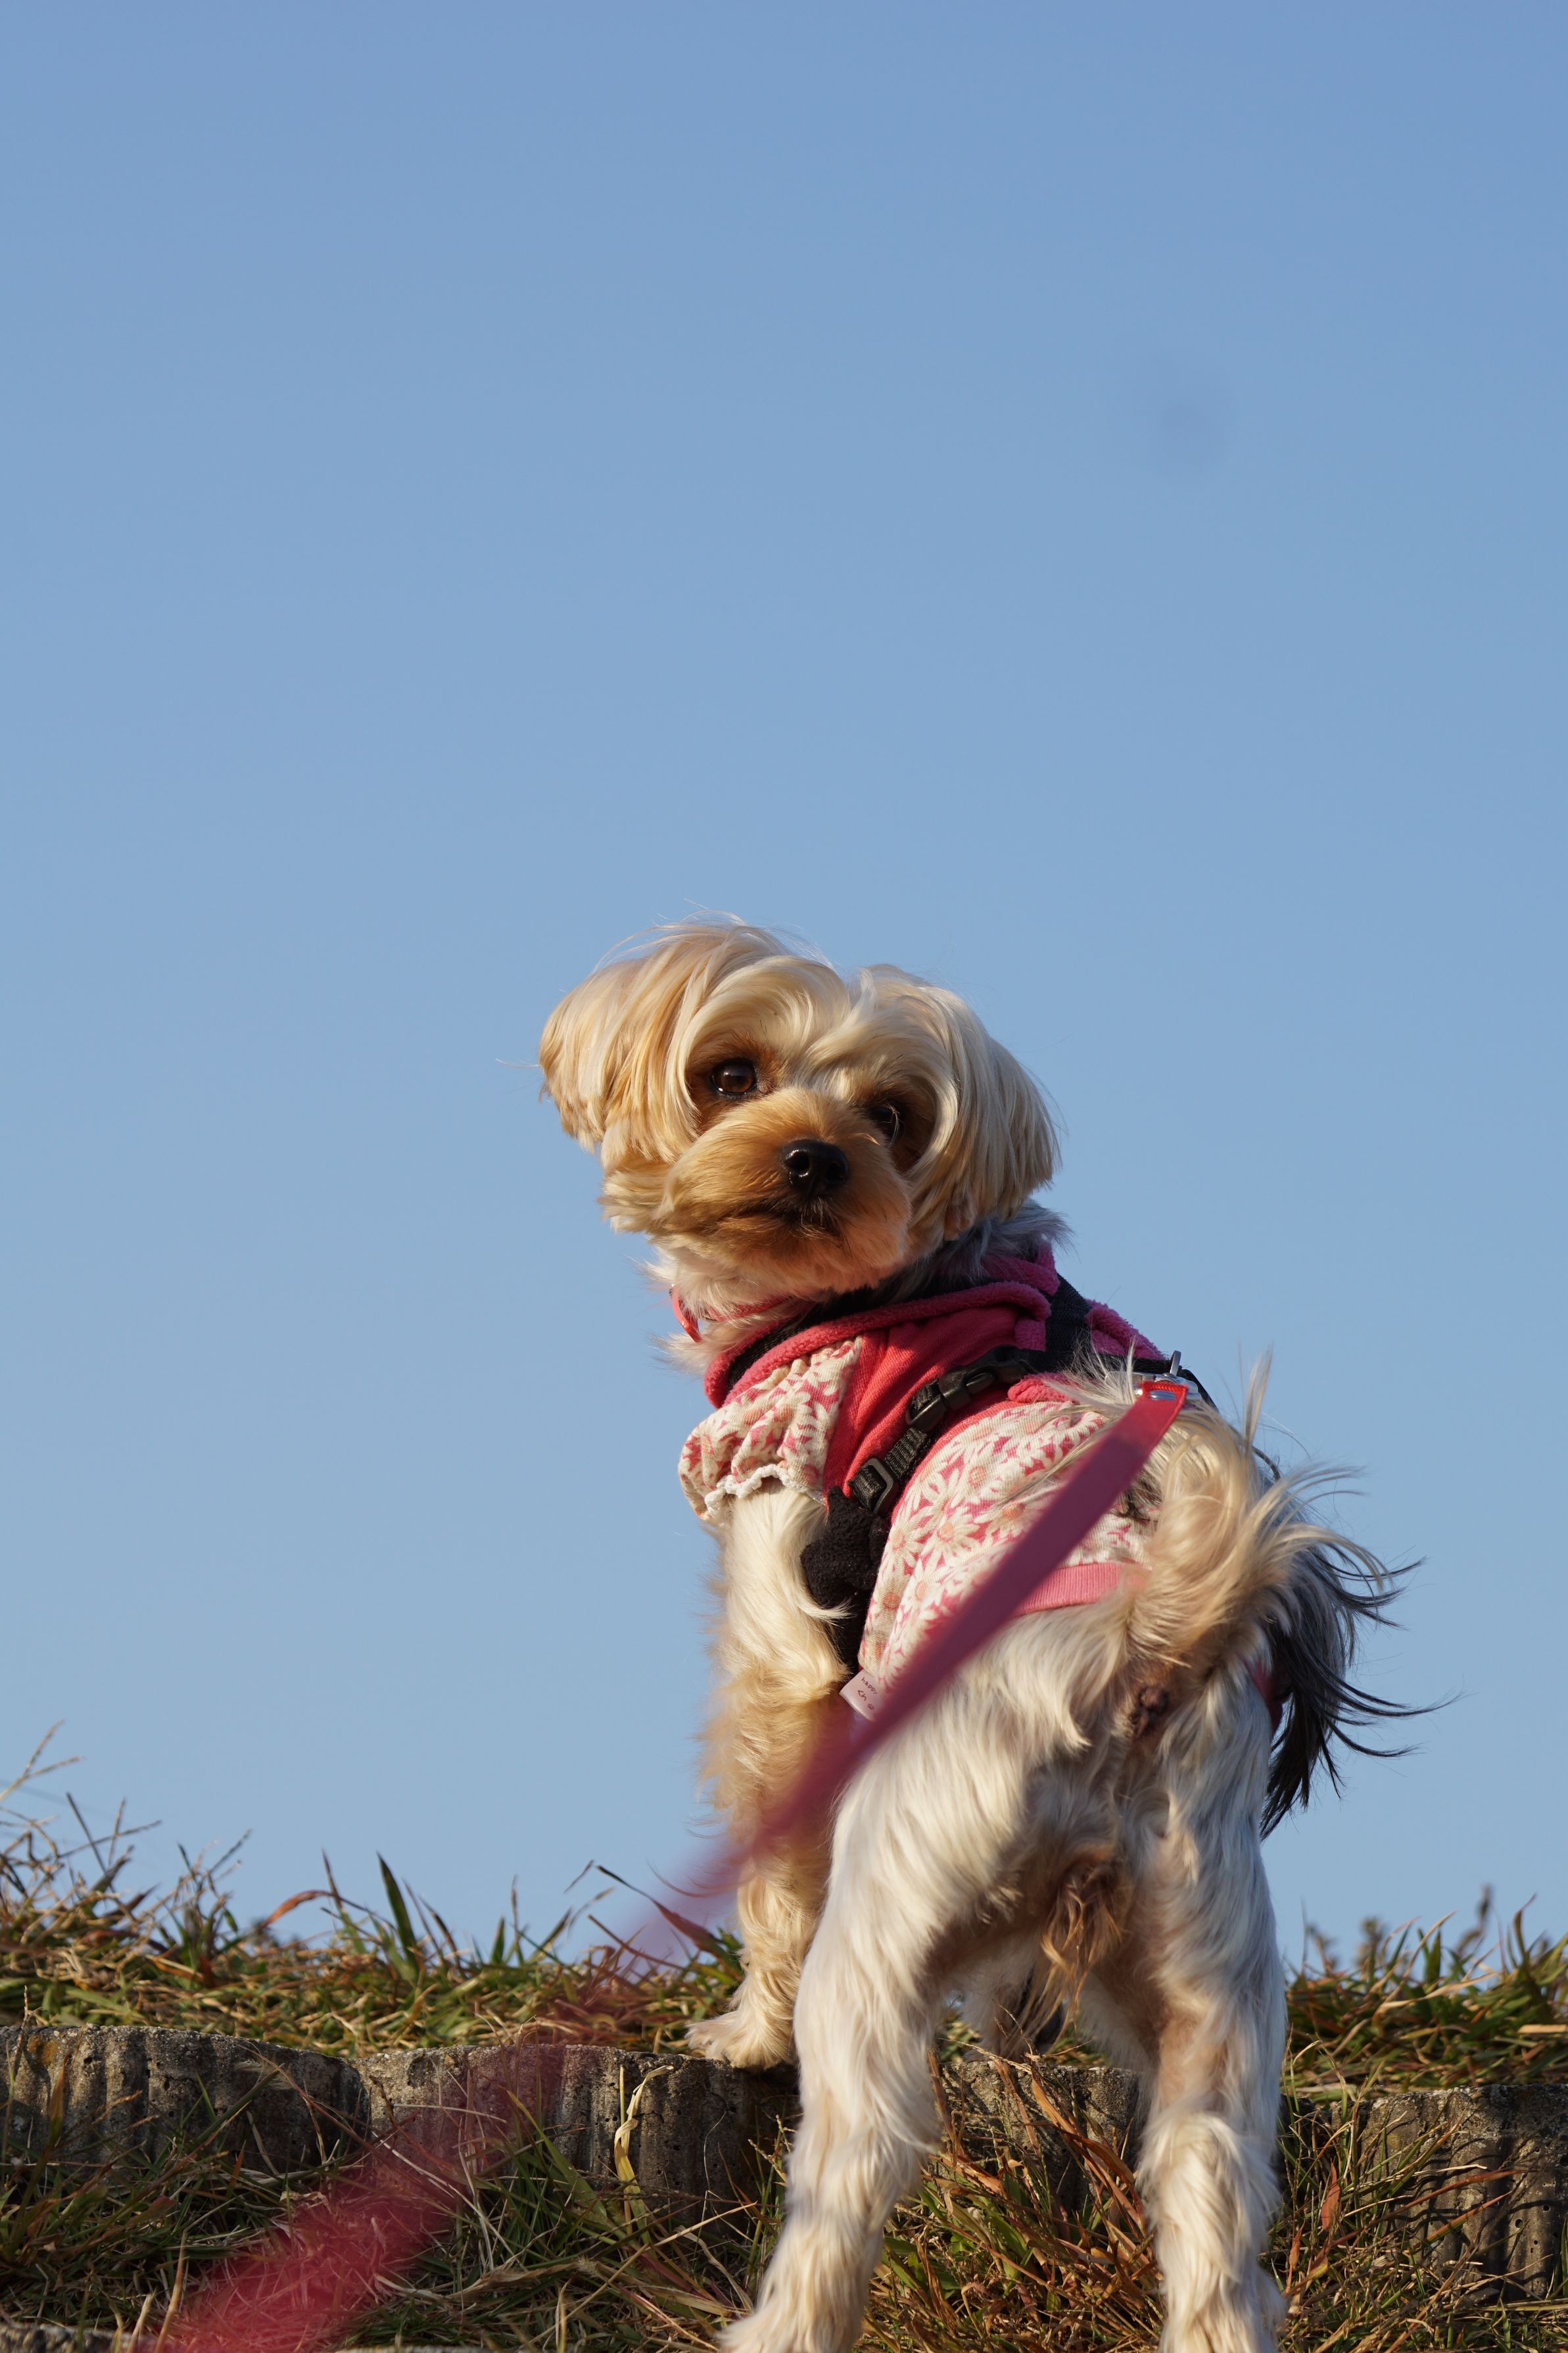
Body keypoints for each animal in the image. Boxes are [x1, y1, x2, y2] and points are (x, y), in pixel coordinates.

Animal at [540, 918, 1398, 2353]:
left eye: (893, 1115)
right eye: (731, 1073)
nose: (813, 1157)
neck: (880, 1291)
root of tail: (1141, 1656)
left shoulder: (783, 1625)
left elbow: (770, 1856)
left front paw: (740, 2030)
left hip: (891, 1922)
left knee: (854, 2164)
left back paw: (773, 2319)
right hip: (1211, 1989)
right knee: (1215, 2221)